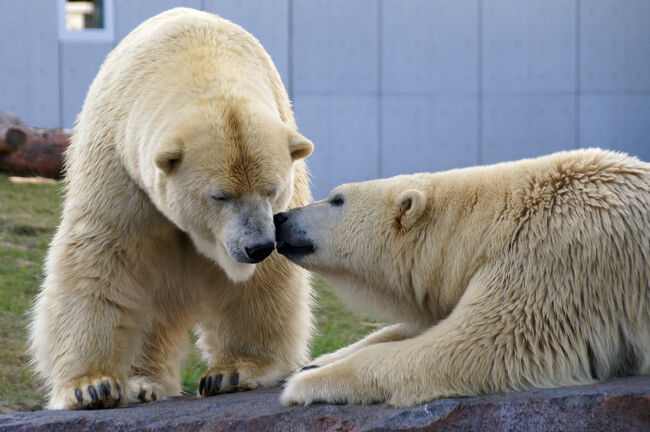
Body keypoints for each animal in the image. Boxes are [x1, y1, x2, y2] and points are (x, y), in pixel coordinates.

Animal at [28, 8, 314, 410]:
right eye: (219, 196)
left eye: (272, 190)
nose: (256, 247)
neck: (199, 57)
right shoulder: (120, 164)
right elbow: (101, 256)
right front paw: (91, 386)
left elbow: (263, 280)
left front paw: (234, 371)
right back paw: (143, 382)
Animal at [274, 150, 648, 406]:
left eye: (337, 199)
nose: (282, 218)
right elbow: (414, 326)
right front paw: (316, 362)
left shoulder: (549, 257)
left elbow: (473, 348)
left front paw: (305, 385)